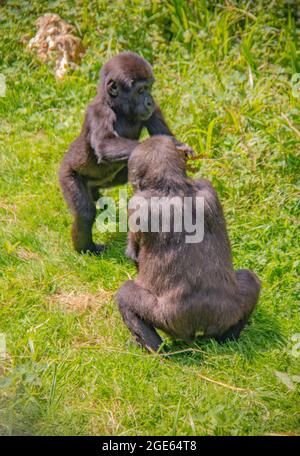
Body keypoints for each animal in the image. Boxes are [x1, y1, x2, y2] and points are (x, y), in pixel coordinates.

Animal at [59, 52, 191, 256]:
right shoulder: (99, 112)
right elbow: (105, 143)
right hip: (66, 174)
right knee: (84, 213)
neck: (117, 107)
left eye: (149, 88)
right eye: (140, 90)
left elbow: (163, 134)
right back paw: (86, 248)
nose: (150, 101)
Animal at [116, 135, 262, 352]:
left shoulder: (136, 204)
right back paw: (228, 339)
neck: (170, 183)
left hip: (167, 318)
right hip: (226, 312)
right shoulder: (209, 188)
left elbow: (134, 255)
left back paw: (155, 350)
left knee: (125, 295)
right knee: (250, 280)